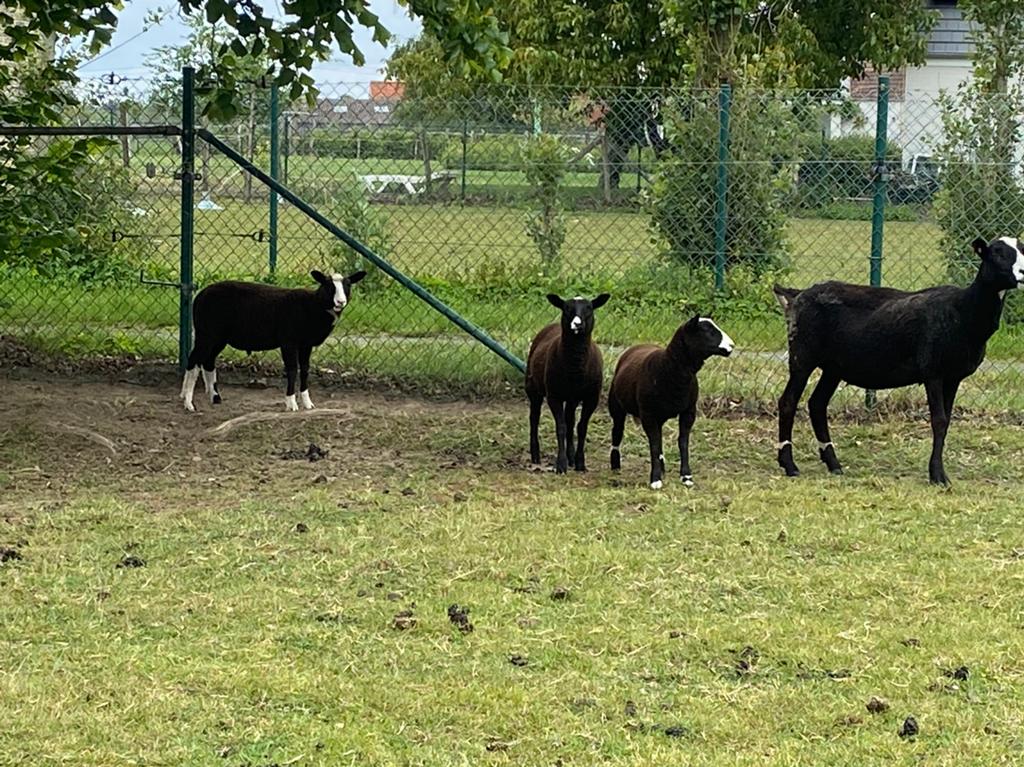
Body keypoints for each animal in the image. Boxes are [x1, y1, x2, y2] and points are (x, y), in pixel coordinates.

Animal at [180, 269, 366, 412]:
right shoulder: (288, 341)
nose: (340, 302)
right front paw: (291, 404)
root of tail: (199, 296)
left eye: (348, 285)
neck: (313, 307)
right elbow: (292, 370)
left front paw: (308, 403)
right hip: (206, 333)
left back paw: (215, 397)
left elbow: (305, 369)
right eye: (328, 286)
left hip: (219, 337)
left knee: (208, 361)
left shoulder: (306, 344)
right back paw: (188, 402)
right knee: (193, 360)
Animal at [525, 293, 610, 473]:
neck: (575, 367)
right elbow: (561, 428)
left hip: (572, 398)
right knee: (534, 418)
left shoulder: (592, 397)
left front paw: (580, 463)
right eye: (566, 308)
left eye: (589, 308)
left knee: (570, 420)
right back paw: (536, 455)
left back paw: (571, 458)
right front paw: (561, 465)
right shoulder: (554, 395)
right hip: (532, 387)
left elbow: (581, 427)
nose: (576, 324)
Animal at [607, 315, 734, 489]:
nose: (732, 345)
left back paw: (662, 467)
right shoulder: (648, 414)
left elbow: (682, 443)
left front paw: (686, 476)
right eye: (707, 330)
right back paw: (615, 465)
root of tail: (639, 345)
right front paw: (655, 480)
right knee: (617, 433)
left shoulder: (689, 411)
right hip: (617, 407)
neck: (669, 368)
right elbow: (654, 445)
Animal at [774, 236, 1024, 485]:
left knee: (817, 404)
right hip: (802, 355)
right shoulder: (933, 371)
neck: (963, 311)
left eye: (1022, 248)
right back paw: (789, 465)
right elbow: (939, 421)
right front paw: (937, 476)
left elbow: (946, 422)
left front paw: (940, 474)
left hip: (834, 366)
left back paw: (833, 464)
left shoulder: (953, 376)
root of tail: (797, 295)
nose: (1023, 272)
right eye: (997, 253)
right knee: (788, 402)